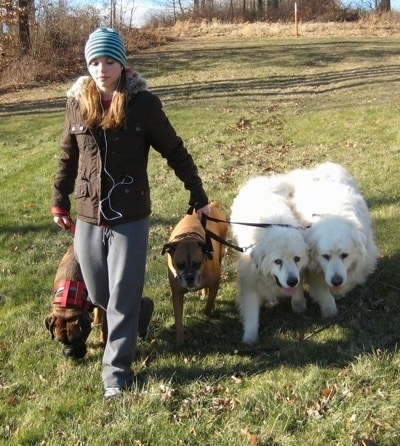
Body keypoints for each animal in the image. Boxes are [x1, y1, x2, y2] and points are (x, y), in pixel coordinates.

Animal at [160, 201, 228, 344]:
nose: (190, 278)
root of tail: (213, 205)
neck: (188, 238)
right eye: (180, 264)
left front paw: (210, 312)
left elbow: (208, 305)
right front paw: (180, 338)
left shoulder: (215, 284)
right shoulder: (177, 294)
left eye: (197, 263)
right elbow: (178, 318)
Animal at [228, 176, 310, 344]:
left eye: (297, 259)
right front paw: (250, 337)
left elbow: (298, 291)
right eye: (277, 261)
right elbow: (251, 312)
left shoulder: (298, 273)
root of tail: (260, 179)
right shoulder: (249, 283)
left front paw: (299, 306)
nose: (291, 281)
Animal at [288, 162, 378, 318]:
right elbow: (322, 290)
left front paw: (338, 293)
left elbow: (350, 278)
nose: (336, 281)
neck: (333, 215)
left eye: (345, 255)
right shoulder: (313, 267)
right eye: (325, 256)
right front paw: (329, 310)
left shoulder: (363, 259)